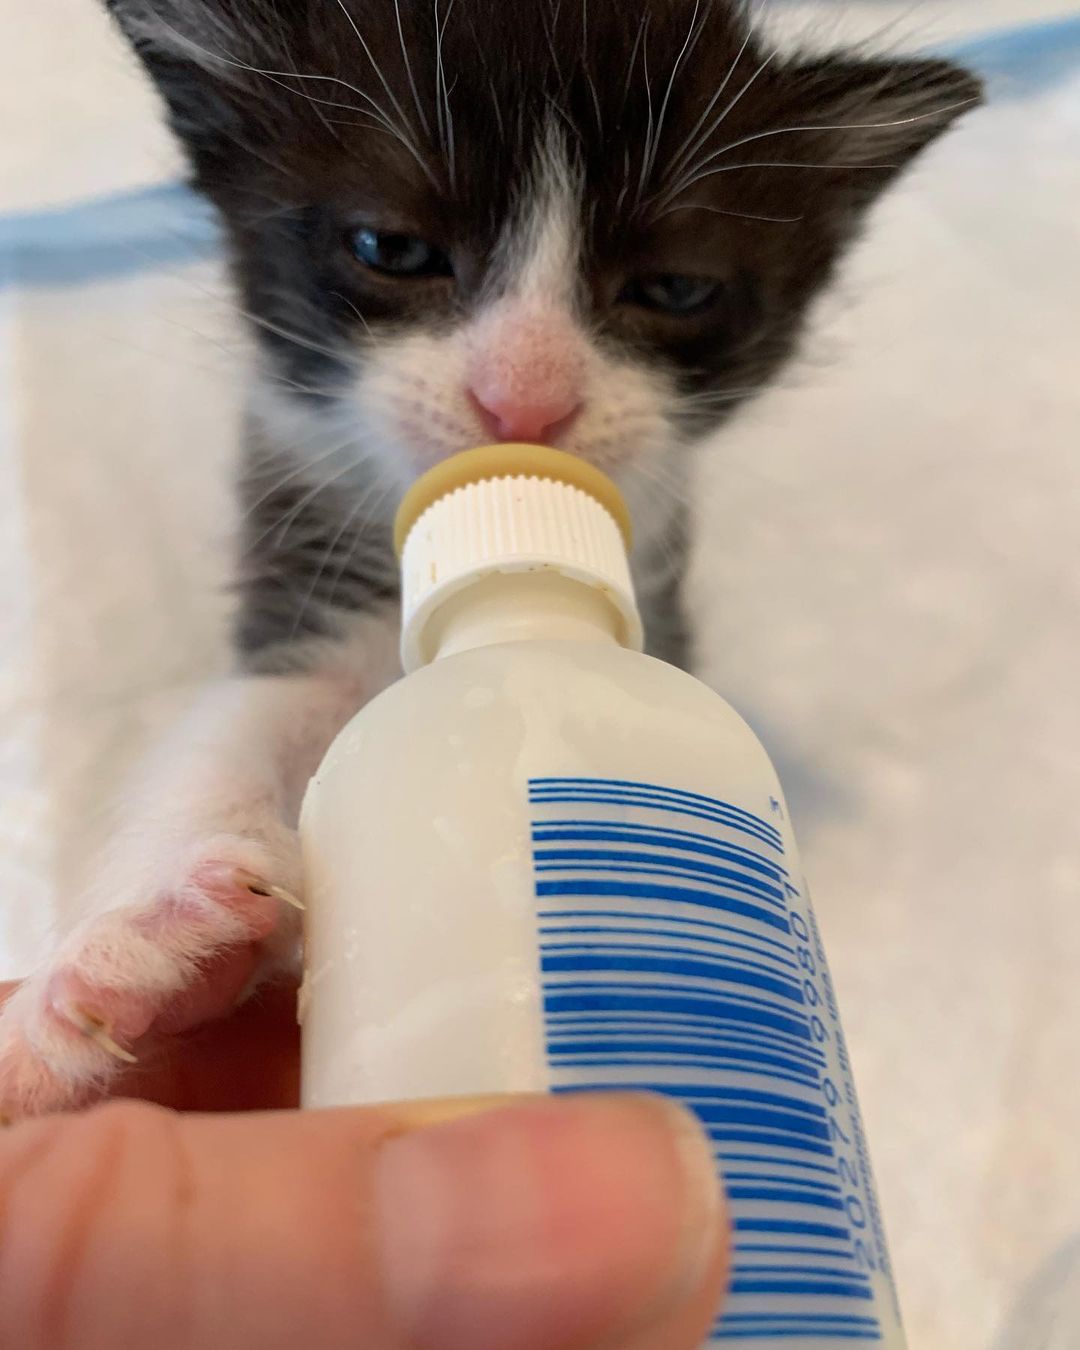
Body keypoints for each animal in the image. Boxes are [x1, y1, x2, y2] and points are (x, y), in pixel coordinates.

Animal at [0, 0, 977, 1117]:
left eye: (676, 286)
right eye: (392, 246)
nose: (525, 400)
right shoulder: (304, 549)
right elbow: (238, 723)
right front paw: (146, 952)